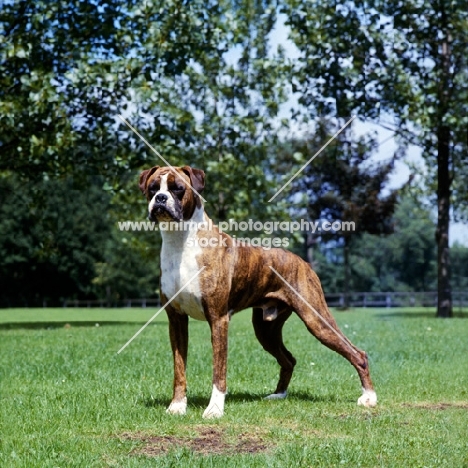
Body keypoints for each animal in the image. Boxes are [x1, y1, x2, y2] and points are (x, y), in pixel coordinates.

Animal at [139, 165, 376, 416]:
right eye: (152, 188)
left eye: (178, 188)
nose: (160, 198)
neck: (181, 243)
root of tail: (302, 262)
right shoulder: (176, 319)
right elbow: (179, 368)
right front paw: (177, 405)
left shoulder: (218, 319)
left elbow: (219, 371)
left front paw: (214, 409)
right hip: (266, 330)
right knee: (289, 360)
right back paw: (278, 394)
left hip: (316, 319)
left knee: (357, 354)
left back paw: (369, 397)